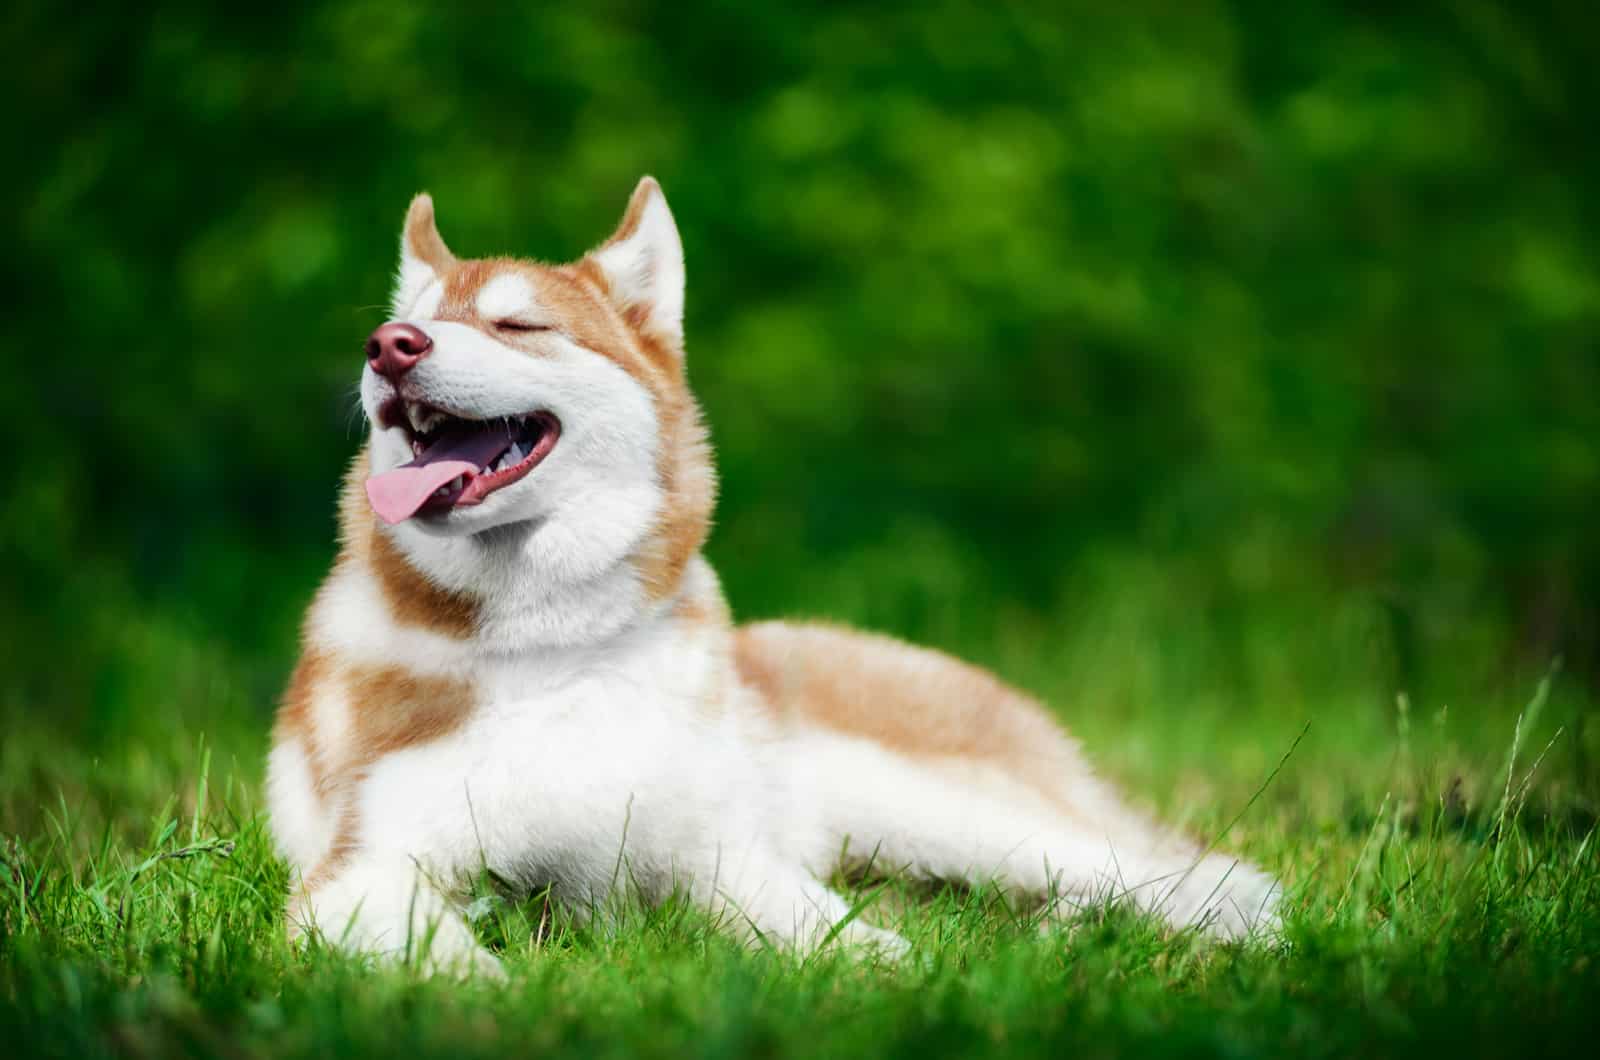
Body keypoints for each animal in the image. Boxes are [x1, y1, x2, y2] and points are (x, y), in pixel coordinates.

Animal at [268, 178, 1280, 973]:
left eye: (519, 325)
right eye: (416, 320)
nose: (390, 344)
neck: (556, 650)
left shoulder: (727, 857)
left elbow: (849, 940)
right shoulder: (360, 873)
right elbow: (444, 954)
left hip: (953, 815)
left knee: (1182, 872)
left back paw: (1240, 935)